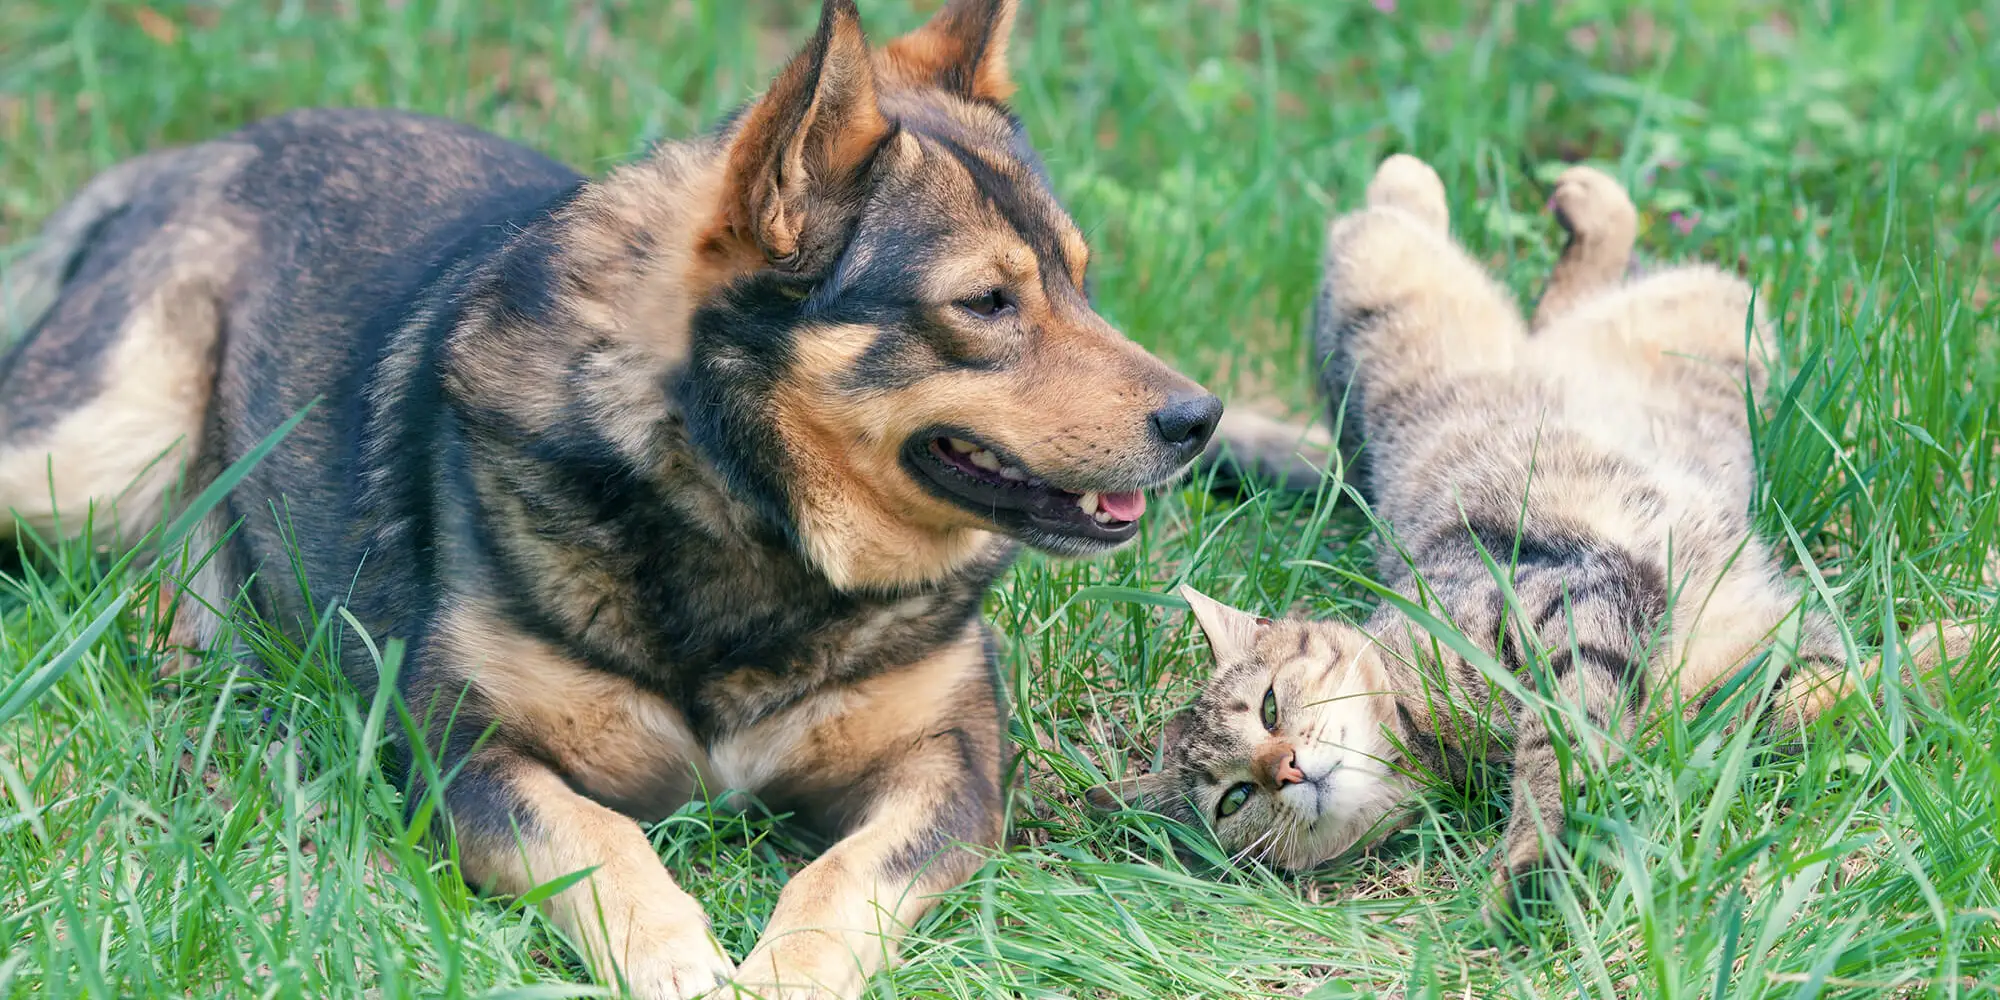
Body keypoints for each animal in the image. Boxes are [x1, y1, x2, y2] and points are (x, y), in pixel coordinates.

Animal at [0, 3, 1216, 996]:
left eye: (1080, 281)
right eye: (986, 303)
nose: (1199, 420)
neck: (748, 519)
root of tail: (209, 149)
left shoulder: (949, 769)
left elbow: (840, 879)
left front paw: (781, 974)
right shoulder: (460, 755)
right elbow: (602, 841)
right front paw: (678, 960)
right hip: (92, 454)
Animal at [1104, 152, 1976, 912]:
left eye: (1271, 708)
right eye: (1234, 798)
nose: (1285, 768)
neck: (1422, 731)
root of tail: (1352, 470)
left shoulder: (1574, 599)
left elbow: (1558, 748)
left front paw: (1527, 858)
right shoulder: (1731, 686)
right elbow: (1837, 696)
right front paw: (1958, 653)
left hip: (1397, 293)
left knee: (1402, 219)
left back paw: (1500, 188)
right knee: (1561, 293)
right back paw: (1579, 210)